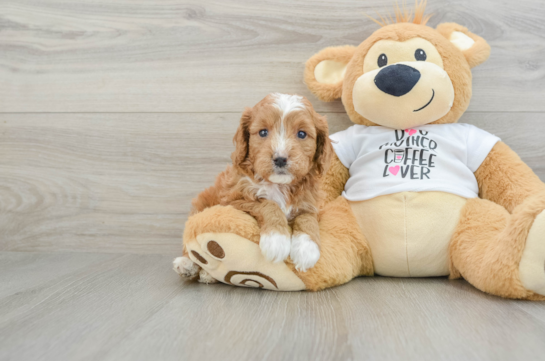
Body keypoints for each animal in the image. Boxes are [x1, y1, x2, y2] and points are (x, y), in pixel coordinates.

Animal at [176, 93, 334, 282]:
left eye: (302, 134)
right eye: (263, 132)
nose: (280, 158)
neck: (279, 185)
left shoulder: (310, 203)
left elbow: (307, 218)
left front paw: (307, 248)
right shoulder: (233, 200)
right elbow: (267, 204)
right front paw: (276, 240)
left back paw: (207, 274)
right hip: (201, 205)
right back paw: (188, 265)